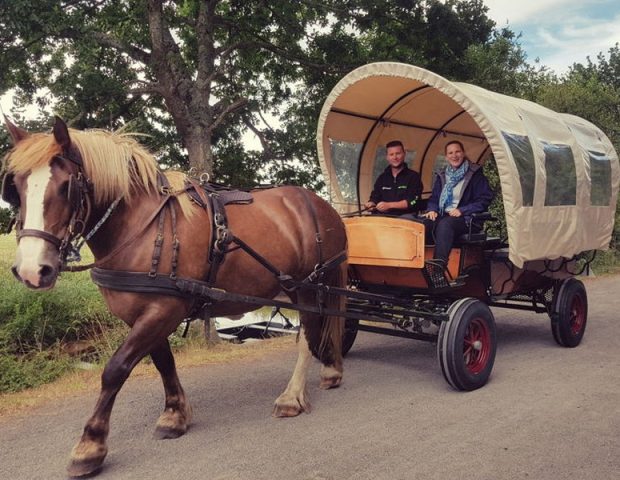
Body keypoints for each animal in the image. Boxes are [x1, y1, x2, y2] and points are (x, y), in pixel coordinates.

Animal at [1, 117, 348, 476]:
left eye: (66, 186)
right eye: (16, 187)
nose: (31, 270)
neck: (141, 228)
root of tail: (322, 205)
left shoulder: (164, 308)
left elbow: (115, 369)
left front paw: (90, 446)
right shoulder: (145, 312)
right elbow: (163, 362)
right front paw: (175, 415)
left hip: (308, 285)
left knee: (308, 333)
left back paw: (292, 396)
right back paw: (331, 369)